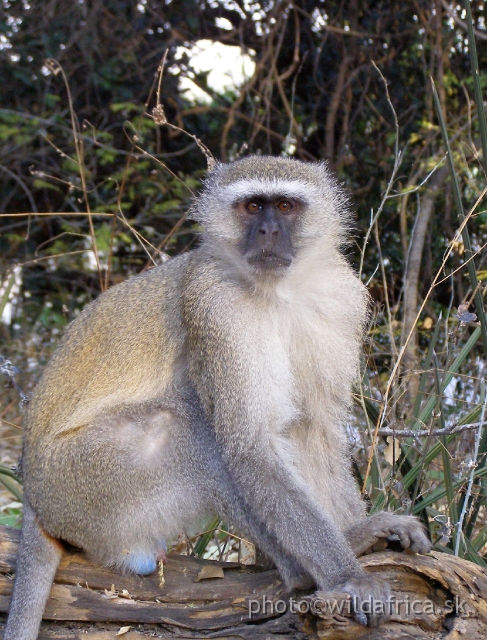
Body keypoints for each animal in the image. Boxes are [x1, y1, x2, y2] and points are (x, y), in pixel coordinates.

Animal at [3, 154, 430, 636]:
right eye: (252, 206)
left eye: (285, 206)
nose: (267, 232)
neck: (277, 292)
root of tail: (34, 496)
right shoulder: (214, 308)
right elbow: (249, 450)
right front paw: (347, 574)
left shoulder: (340, 299)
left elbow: (316, 430)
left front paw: (360, 530)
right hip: (81, 485)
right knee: (192, 430)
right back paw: (301, 571)